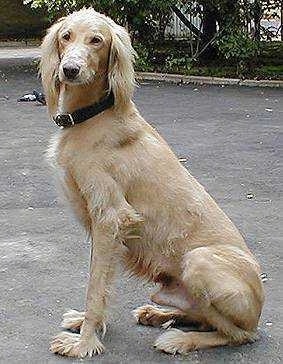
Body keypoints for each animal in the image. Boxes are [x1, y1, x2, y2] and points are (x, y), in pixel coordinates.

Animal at [41, 7, 266, 358]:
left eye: (96, 40)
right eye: (66, 36)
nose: (70, 70)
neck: (94, 115)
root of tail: (259, 309)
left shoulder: (110, 218)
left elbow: (94, 286)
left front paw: (85, 344)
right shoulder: (104, 228)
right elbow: (101, 284)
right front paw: (86, 325)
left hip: (199, 261)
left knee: (238, 334)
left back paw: (181, 339)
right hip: (172, 288)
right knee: (202, 316)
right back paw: (159, 314)